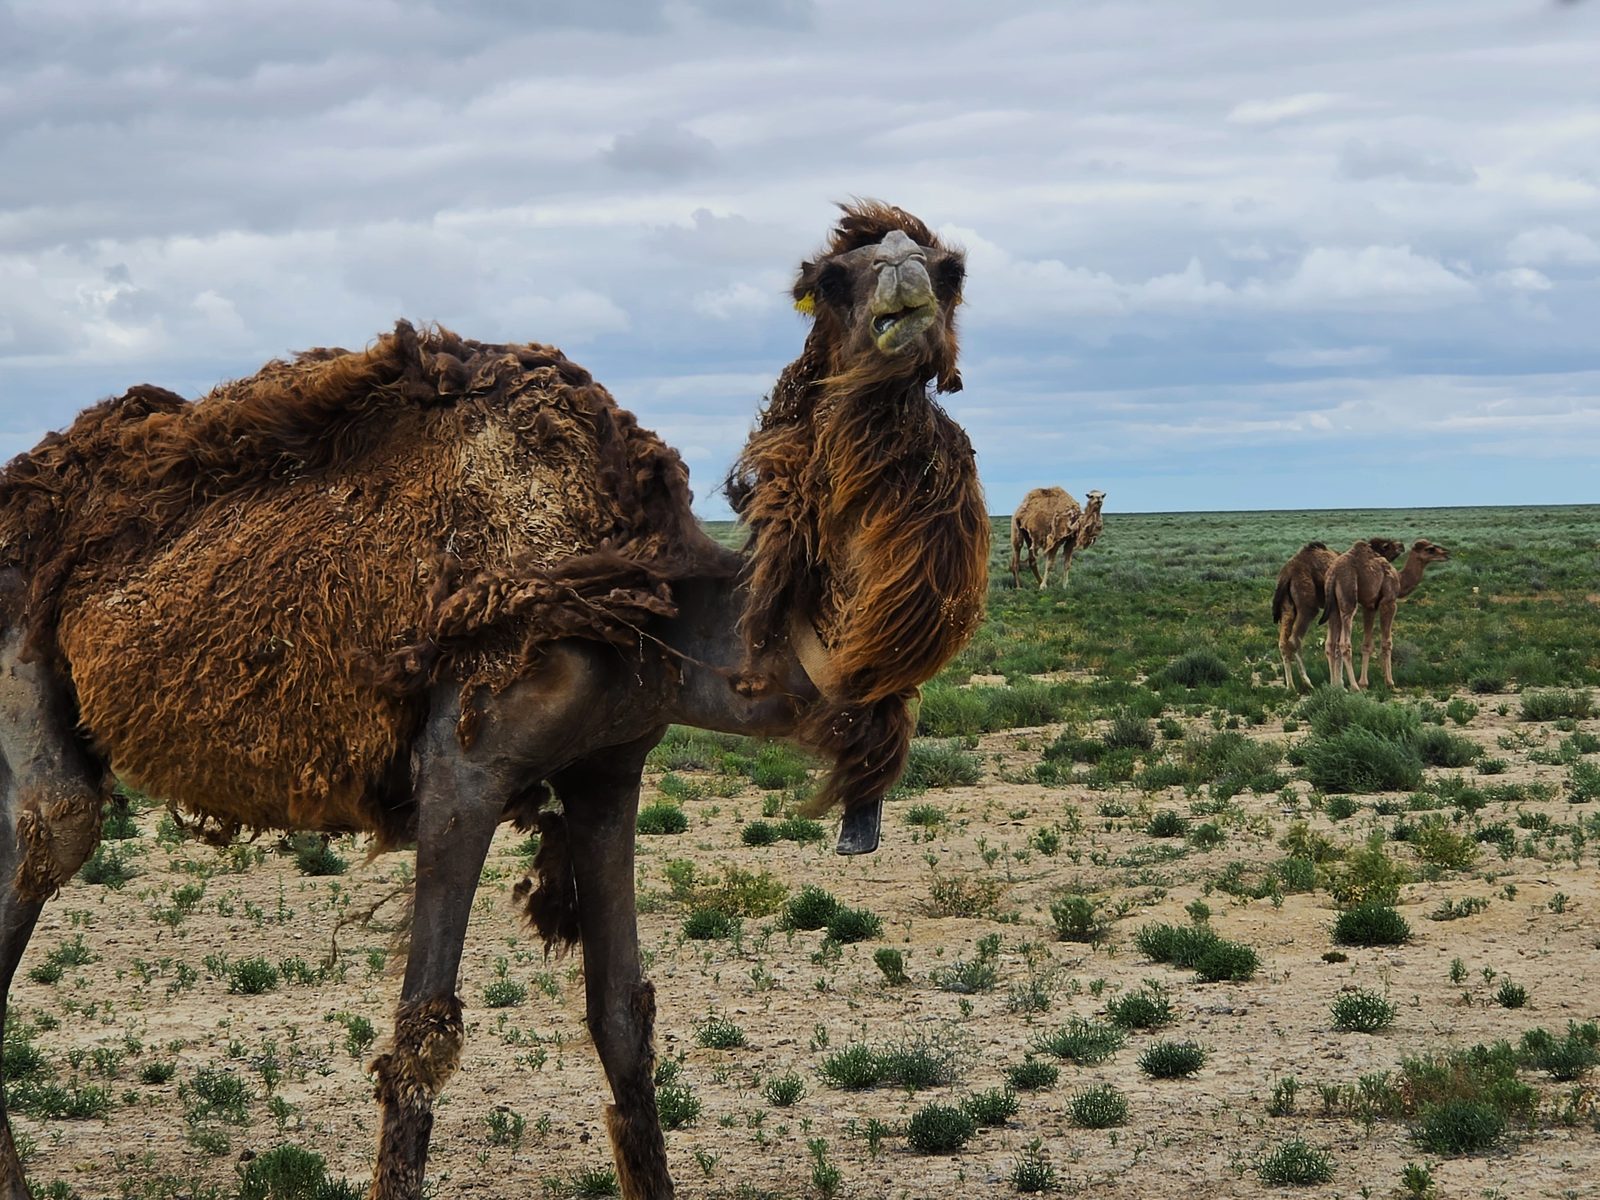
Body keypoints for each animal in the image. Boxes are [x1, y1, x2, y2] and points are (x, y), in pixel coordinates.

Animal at [0, 202, 988, 1200]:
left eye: (948, 271)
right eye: (831, 279)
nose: (905, 296)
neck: (661, 609)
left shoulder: (609, 767)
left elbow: (622, 1015)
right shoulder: (464, 767)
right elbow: (422, 1035)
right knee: (59, 826)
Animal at [1272, 537, 1402, 690]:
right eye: (1387, 545)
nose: (1401, 546)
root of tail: (1287, 574)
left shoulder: (1334, 611)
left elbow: (1333, 644)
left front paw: (1337, 683)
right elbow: (1338, 644)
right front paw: (1341, 684)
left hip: (1287, 608)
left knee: (1283, 642)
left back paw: (1291, 686)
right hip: (1307, 606)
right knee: (1294, 640)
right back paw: (1307, 682)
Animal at [1320, 538, 1451, 690]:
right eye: (1430, 549)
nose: (1446, 553)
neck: (1399, 580)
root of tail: (1333, 574)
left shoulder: (1369, 606)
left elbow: (1367, 644)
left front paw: (1364, 683)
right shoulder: (1389, 601)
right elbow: (1387, 642)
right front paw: (1390, 682)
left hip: (1333, 607)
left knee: (1330, 643)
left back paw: (1336, 686)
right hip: (1348, 599)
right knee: (1344, 643)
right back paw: (1353, 687)